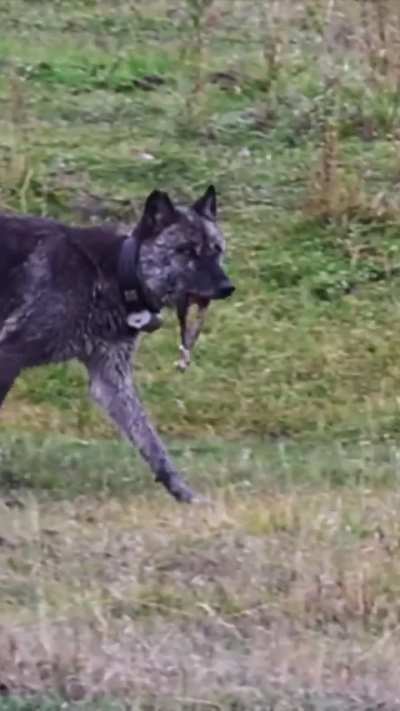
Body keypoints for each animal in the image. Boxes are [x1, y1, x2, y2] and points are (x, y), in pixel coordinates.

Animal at [0, 186, 234, 502]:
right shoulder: (9, 355)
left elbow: (150, 441)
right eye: (186, 250)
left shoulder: (110, 380)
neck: (110, 274)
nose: (227, 287)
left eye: (216, 249)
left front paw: (183, 493)